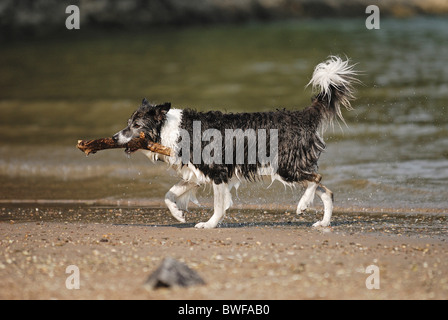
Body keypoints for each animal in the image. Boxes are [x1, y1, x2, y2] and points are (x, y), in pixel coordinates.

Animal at [114, 56, 358, 229]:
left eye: (136, 125)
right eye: (128, 123)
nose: (115, 137)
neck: (170, 128)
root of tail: (301, 115)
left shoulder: (217, 171)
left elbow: (219, 206)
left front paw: (209, 224)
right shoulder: (195, 172)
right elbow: (169, 195)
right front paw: (178, 214)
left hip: (286, 166)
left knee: (317, 178)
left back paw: (302, 205)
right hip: (292, 166)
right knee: (327, 191)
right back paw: (323, 222)